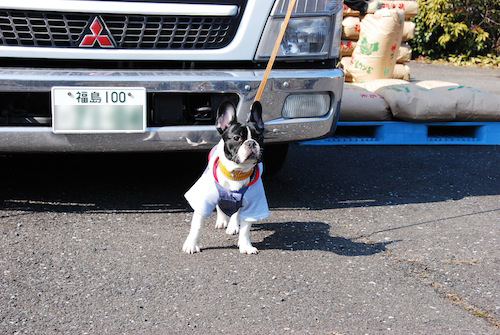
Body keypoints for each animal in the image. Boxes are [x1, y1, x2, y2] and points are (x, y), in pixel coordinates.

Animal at [184, 101, 270, 255]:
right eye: (236, 138)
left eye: (259, 137)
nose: (251, 143)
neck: (236, 173)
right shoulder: (203, 201)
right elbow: (197, 226)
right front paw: (191, 245)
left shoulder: (253, 204)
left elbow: (245, 229)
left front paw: (245, 246)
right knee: (220, 205)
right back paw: (222, 221)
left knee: (236, 212)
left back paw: (233, 225)